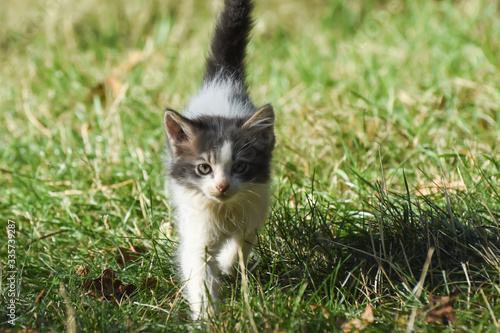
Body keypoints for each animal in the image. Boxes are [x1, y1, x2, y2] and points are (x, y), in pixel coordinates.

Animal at [163, 0, 274, 320]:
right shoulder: (196, 229)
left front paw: (226, 264)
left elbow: (242, 244)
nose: (222, 186)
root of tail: (221, 84)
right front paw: (207, 317)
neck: (223, 209)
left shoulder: (254, 208)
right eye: (204, 168)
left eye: (240, 167)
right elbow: (198, 271)